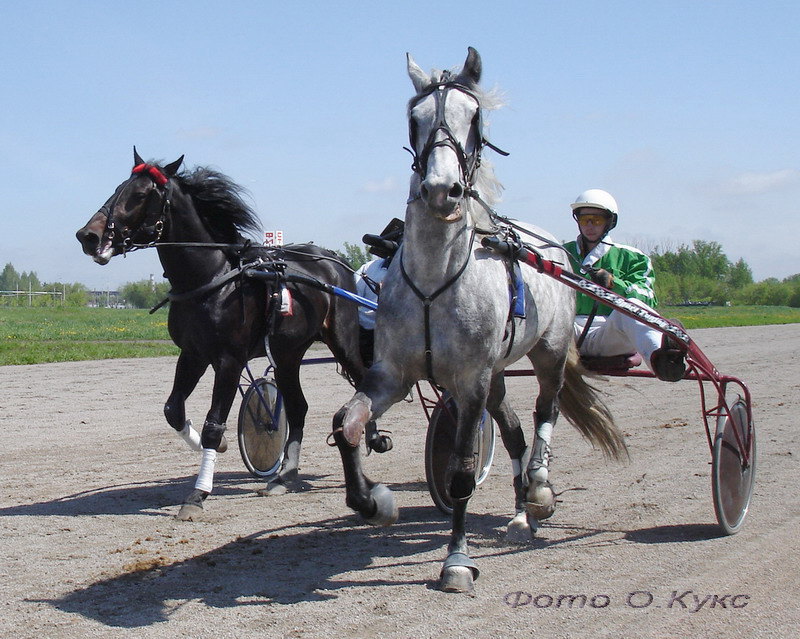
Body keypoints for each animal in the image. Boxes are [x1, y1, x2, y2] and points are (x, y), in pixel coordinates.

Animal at [76, 149, 374, 520]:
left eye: (140, 194)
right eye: (118, 188)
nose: (88, 236)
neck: (212, 279)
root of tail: (334, 261)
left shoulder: (229, 360)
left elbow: (213, 422)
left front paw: (198, 493)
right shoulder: (192, 354)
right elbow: (173, 410)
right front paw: (221, 445)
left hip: (342, 339)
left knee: (364, 378)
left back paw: (373, 437)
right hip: (288, 354)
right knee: (298, 407)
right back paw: (285, 475)